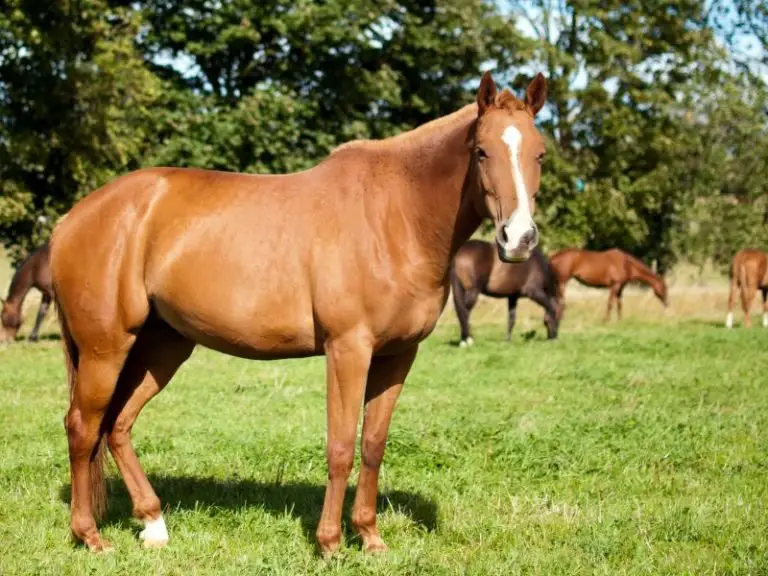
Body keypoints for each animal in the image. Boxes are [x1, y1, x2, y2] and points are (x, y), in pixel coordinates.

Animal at [49, 71, 548, 555]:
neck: (396, 216)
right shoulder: (348, 350)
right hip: (105, 349)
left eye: (540, 154)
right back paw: (90, 537)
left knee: (117, 425)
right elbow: (341, 446)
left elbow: (373, 444)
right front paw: (330, 543)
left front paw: (370, 538)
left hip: (162, 346)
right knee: (82, 427)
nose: (519, 239)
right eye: (481, 151)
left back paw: (154, 525)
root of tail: (71, 220)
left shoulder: (397, 356)